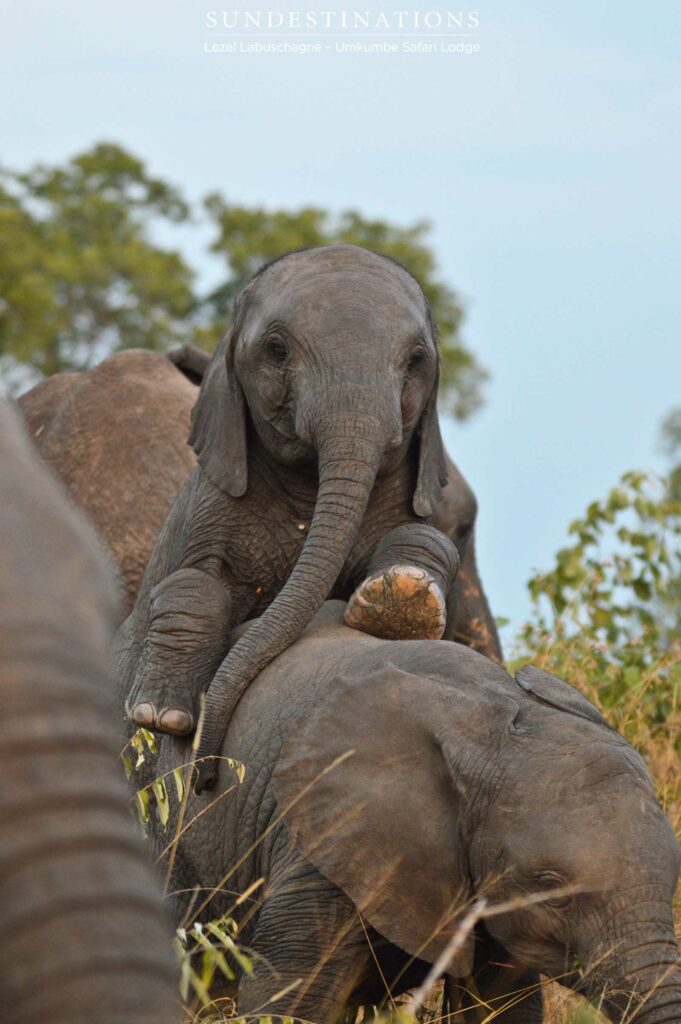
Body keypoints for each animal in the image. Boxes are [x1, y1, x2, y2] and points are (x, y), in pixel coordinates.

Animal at [115, 244, 499, 792]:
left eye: (416, 361)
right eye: (276, 350)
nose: (207, 778)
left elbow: (425, 541)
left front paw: (400, 603)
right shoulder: (209, 503)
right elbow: (194, 581)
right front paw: (161, 715)